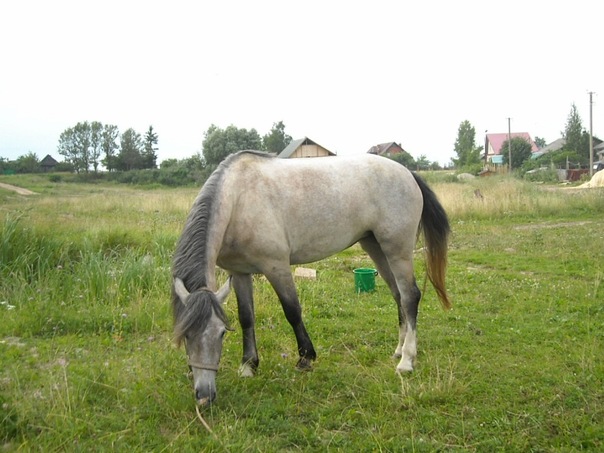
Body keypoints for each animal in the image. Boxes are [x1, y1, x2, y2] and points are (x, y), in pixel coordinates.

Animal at [172, 150, 450, 406]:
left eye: (220, 334)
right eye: (186, 336)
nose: (204, 396)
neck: (237, 200)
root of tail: (408, 173)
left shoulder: (277, 266)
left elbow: (292, 311)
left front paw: (306, 358)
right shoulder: (239, 272)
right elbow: (246, 318)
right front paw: (249, 365)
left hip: (397, 249)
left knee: (410, 296)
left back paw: (407, 361)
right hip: (376, 247)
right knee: (398, 295)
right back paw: (398, 350)